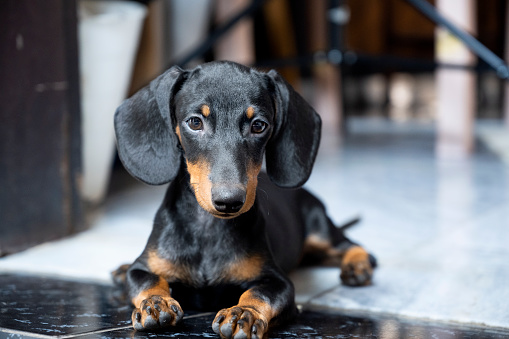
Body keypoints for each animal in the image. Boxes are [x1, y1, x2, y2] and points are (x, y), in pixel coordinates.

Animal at [113, 61, 376, 339]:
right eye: (195, 122)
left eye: (259, 125)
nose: (229, 201)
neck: (208, 228)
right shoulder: (143, 268)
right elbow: (148, 279)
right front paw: (155, 302)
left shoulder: (278, 281)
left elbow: (259, 293)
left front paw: (244, 313)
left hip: (319, 227)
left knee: (351, 246)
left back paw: (357, 266)